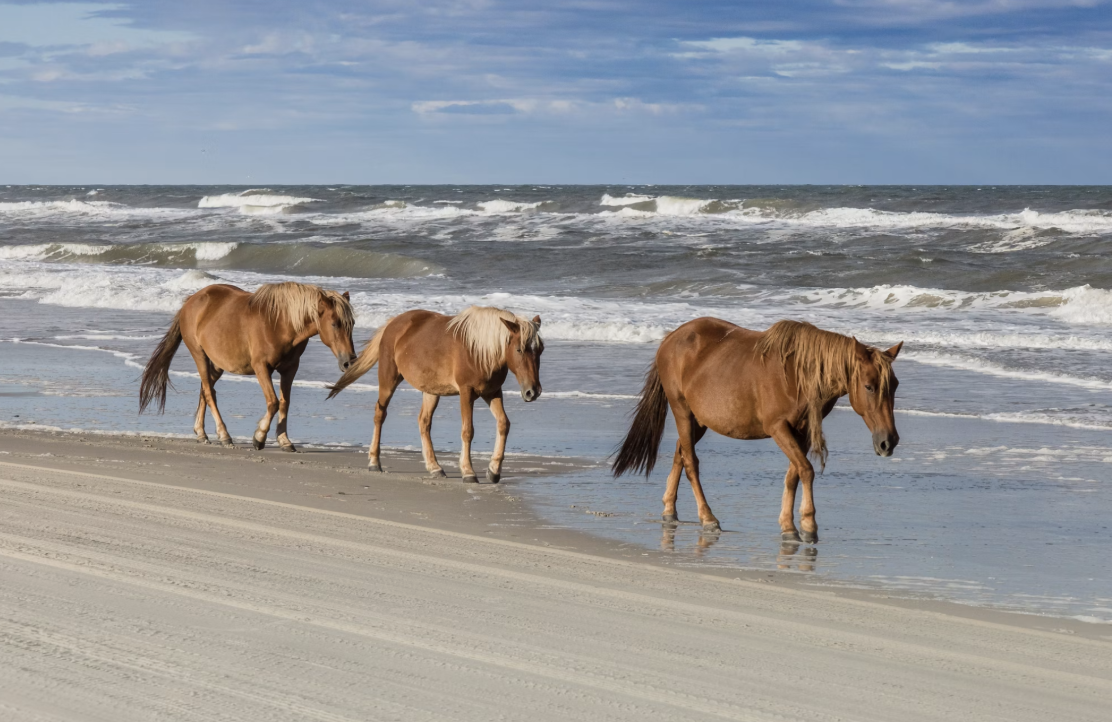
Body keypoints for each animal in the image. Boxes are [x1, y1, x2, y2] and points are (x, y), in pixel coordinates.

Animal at [139, 282, 356, 451]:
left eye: (352, 323)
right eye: (335, 323)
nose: (349, 361)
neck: (280, 323)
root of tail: (191, 300)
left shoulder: (290, 369)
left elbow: (284, 403)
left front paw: (284, 440)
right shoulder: (261, 367)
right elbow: (273, 402)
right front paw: (259, 437)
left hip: (216, 363)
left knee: (204, 389)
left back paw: (201, 432)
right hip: (199, 354)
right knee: (209, 392)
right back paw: (224, 435)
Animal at [327, 306, 543, 483]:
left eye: (540, 350)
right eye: (519, 349)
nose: (533, 391)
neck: (480, 350)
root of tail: (394, 322)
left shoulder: (492, 392)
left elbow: (503, 424)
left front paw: (494, 470)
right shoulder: (466, 392)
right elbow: (468, 431)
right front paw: (468, 472)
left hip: (431, 391)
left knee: (424, 422)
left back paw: (435, 467)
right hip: (388, 380)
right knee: (380, 414)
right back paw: (374, 462)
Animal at [613, 318, 902, 543]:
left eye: (895, 385)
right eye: (869, 386)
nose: (888, 442)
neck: (797, 374)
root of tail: (671, 338)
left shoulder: (801, 431)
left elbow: (794, 475)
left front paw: (788, 526)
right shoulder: (778, 428)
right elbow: (806, 470)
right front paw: (808, 526)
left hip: (699, 420)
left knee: (680, 454)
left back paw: (669, 511)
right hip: (682, 410)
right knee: (691, 462)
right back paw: (708, 518)